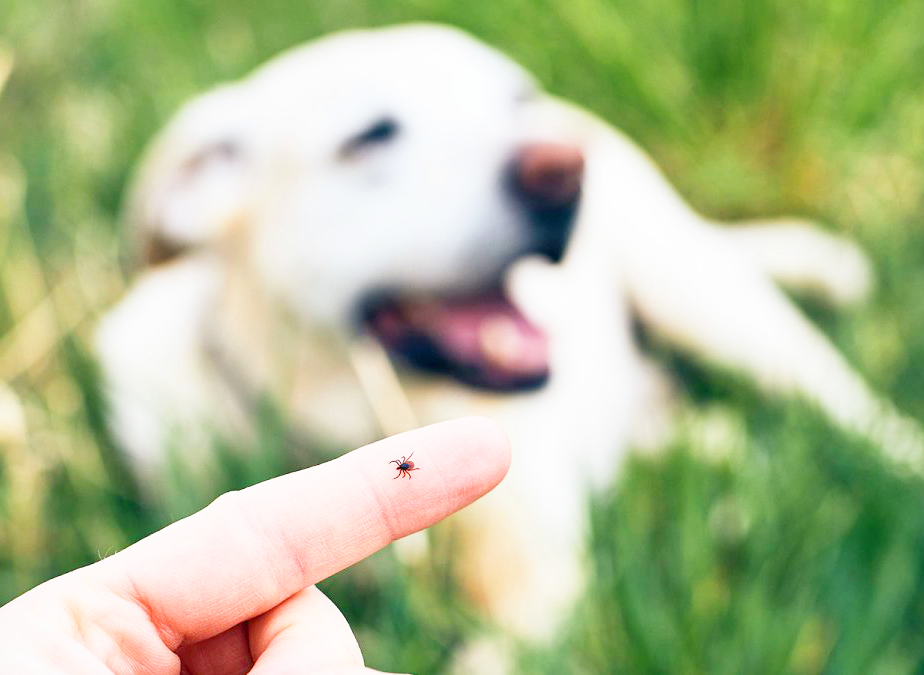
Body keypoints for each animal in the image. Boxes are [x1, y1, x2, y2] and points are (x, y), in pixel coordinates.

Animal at [95, 23, 924, 648]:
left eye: (514, 99)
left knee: (853, 412)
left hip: (705, 298)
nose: (561, 169)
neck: (351, 416)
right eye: (369, 136)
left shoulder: (537, 594)